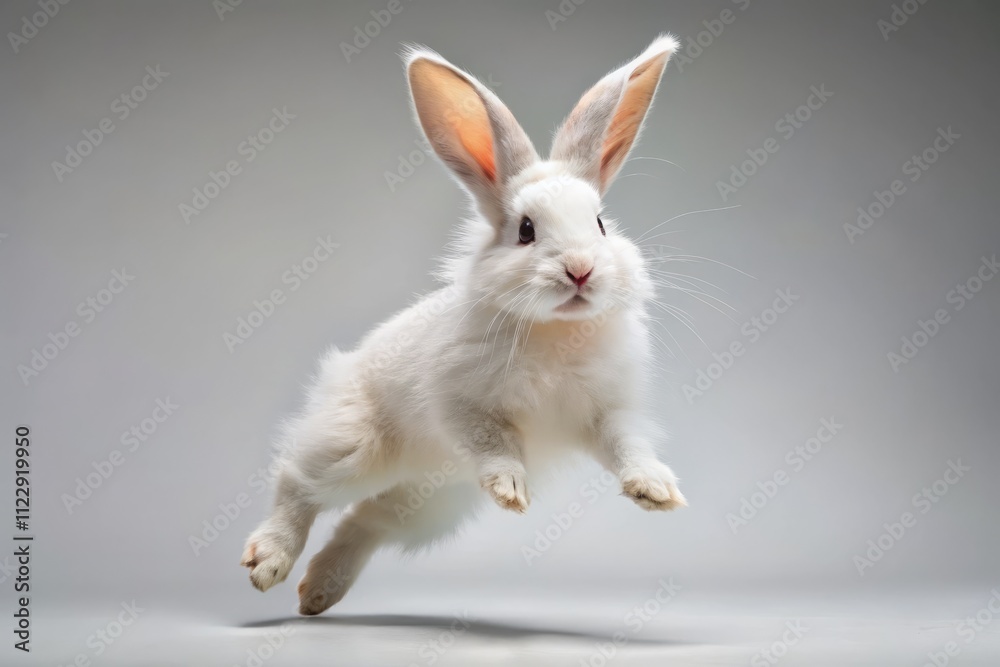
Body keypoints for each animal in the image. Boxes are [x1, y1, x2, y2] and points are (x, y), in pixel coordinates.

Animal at [241, 34, 686, 616]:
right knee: (298, 484)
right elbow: (493, 444)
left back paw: (318, 592)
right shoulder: (460, 404)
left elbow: (627, 447)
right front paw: (511, 490)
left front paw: (655, 491)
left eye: (600, 224)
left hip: (428, 503)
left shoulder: (608, 413)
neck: (554, 331)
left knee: (364, 522)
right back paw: (268, 563)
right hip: (352, 445)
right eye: (525, 230)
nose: (580, 269)